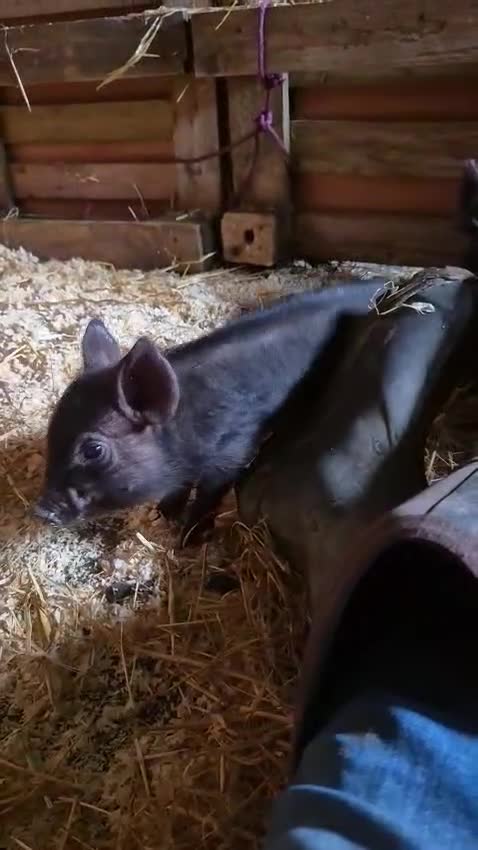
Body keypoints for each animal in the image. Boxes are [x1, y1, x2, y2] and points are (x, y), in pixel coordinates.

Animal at [35, 281, 387, 543]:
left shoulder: (233, 451)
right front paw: (162, 515)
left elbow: (209, 493)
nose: (41, 511)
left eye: (93, 450)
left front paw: (187, 540)